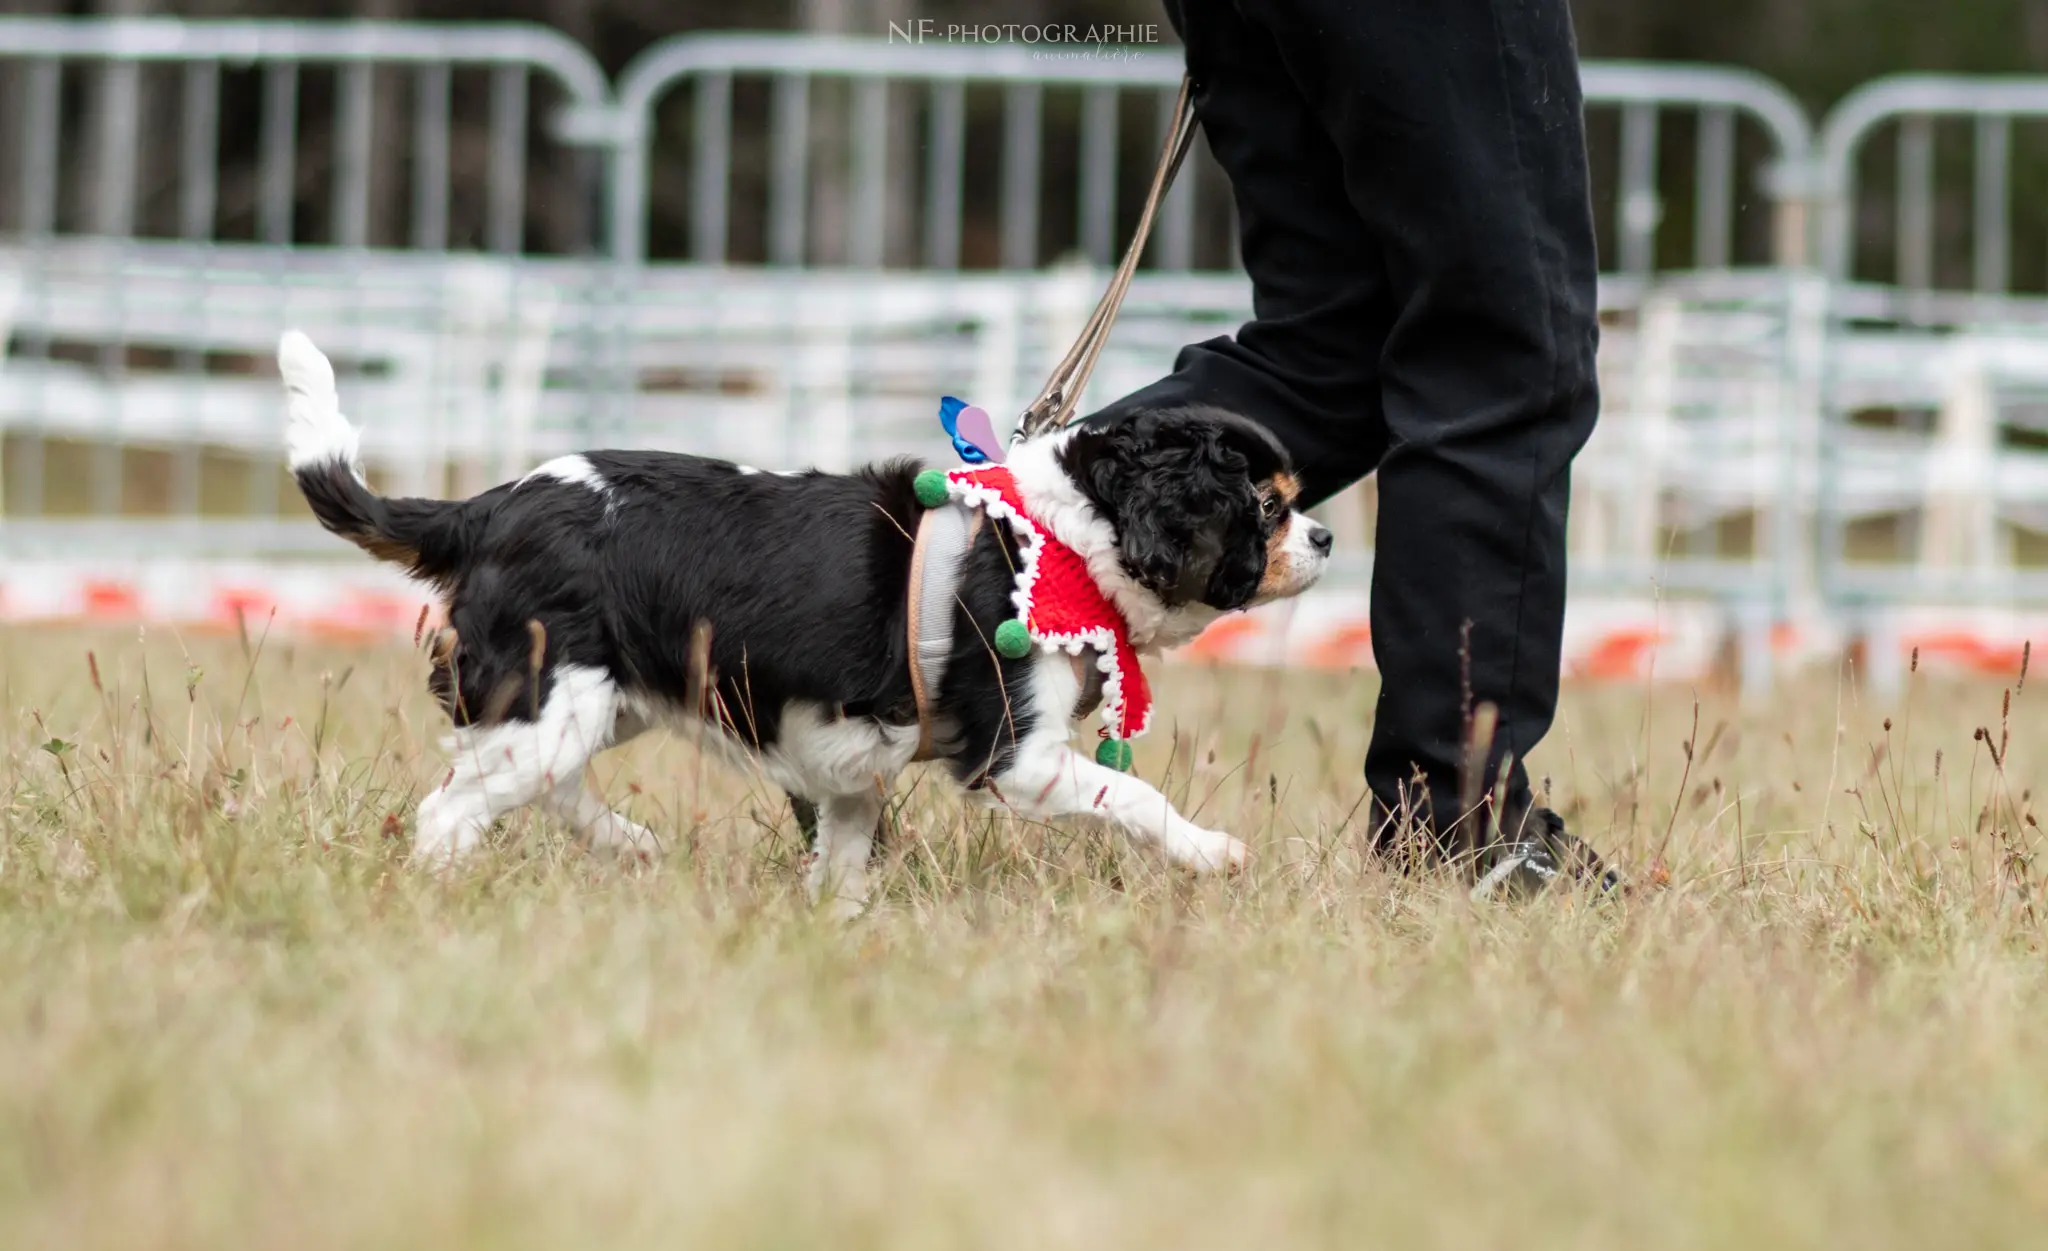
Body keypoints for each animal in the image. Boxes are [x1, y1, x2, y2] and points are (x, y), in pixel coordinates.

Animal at [280, 327, 1335, 904]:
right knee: (452, 809)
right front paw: (1214, 853)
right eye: (1267, 506)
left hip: (592, 697)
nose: (1326, 539)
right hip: (554, 690)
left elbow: (845, 854)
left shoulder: (853, 769)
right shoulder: (1015, 756)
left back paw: (627, 842)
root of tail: (485, 508)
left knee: (533, 780)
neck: (1062, 531)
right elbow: (1137, 798)